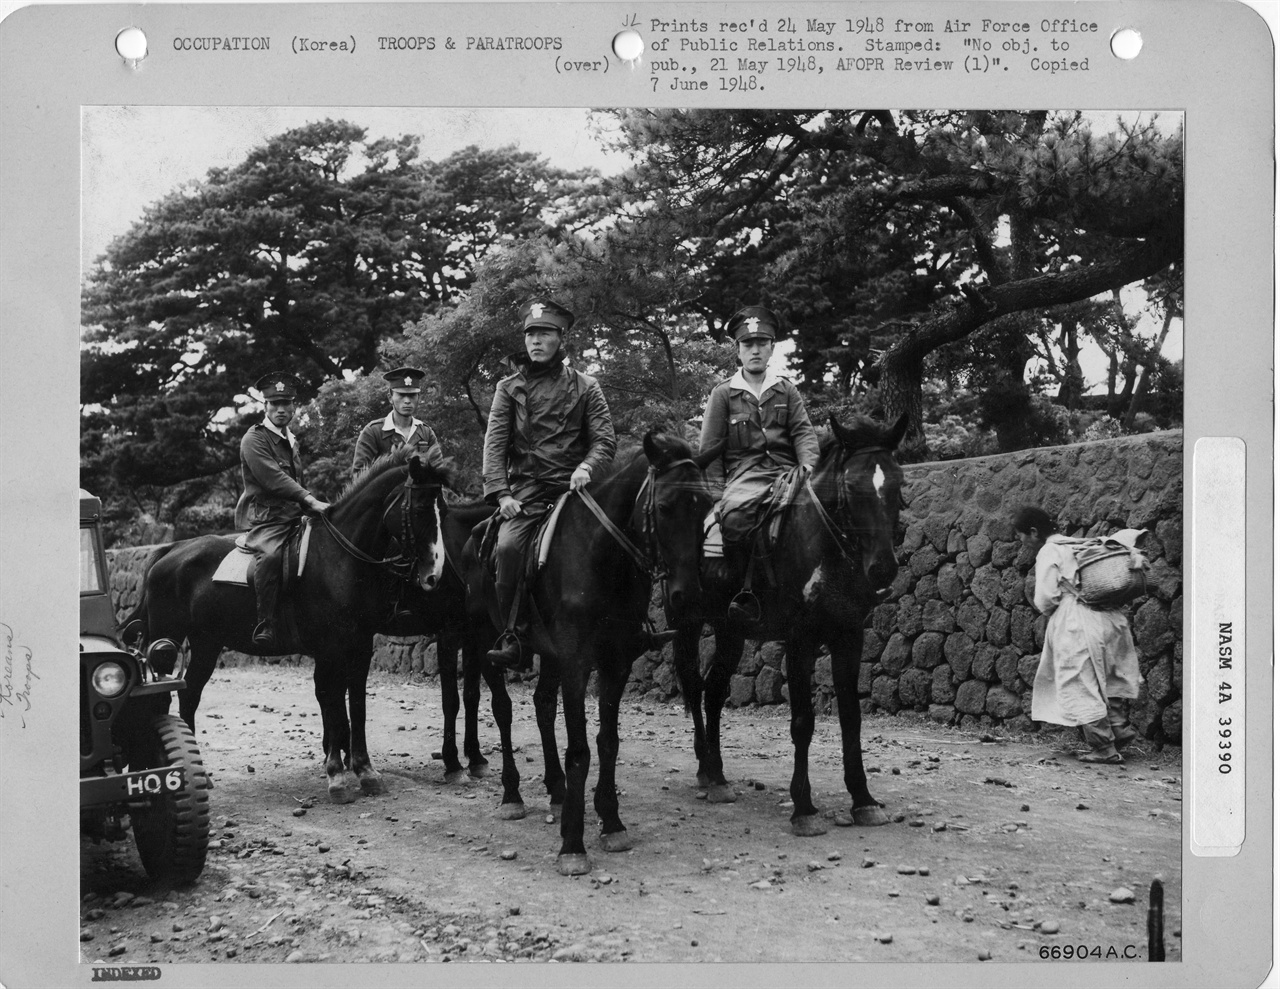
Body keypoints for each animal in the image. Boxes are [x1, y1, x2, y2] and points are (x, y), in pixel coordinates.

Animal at [126, 447, 455, 803]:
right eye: (420, 508)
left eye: (444, 510)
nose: (433, 574)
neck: (339, 558)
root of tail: (170, 550)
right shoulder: (330, 651)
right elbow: (333, 705)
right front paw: (337, 776)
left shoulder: (360, 648)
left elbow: (356, 705)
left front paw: (365, 771)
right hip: (167, 641)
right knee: (162, 698)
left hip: (206, 643)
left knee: (190, 695)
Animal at [460, 429, 721, 870]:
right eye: (664, 507)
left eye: (704, 508)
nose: (688, 596)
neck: (602, 558)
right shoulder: (577, 663)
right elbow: (580, 749)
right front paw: (572, 842)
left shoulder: (614, 663)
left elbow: (607, 742)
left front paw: (611, 821)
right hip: (487, 645)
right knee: (503, 709)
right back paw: (512, 795)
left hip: (549, 656)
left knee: (543, 705)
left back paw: (556, 788)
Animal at [670, 411, 911, 839]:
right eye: (851, 485)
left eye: (897, 482)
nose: (882, 568)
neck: (823, 543)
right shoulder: (800, 639)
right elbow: (802, 722)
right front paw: (803, 808)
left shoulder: (849, 636)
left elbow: (852, 717)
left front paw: (863, 800)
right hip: (689, 623)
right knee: (696, 687)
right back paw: (706, 770)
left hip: (731, 630)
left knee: (713, 692)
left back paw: (716, 776)